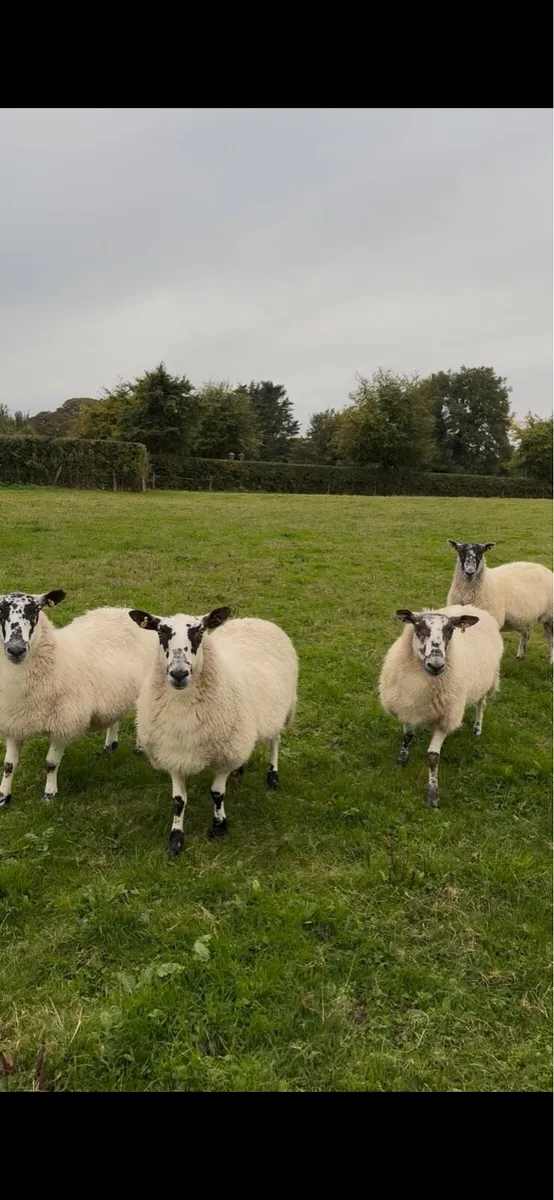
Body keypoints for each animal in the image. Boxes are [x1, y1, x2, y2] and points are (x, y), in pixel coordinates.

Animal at [0, 590, 158, 808]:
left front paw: (49, 796)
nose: (16, 650)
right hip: (116, 689)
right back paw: (110, 745)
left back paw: (139, 747)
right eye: (0, 611)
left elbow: (50, 764)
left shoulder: (64, 722)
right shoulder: (14, 721)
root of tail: (121, 609)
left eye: (36, 610)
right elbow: (9, 765)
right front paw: (3, 797)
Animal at [129, 604, 298, 856]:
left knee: (274, 742)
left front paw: (219, 827)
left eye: (200, 631)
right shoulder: (173, 754)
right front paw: (176, 839)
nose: (179, 674)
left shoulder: (224, 754)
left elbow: (217, 794)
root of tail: (256, 620)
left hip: (279, 710)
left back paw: (272, 777)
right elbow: (178, 800)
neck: (183, 707)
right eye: (160, 632)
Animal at [378, 603, 503, 808]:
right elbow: (407, 736)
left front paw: (433, 794)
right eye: (418, 627)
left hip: (487, 681)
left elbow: (433, 757)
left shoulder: (445, 719)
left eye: (450, 630)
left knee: (481, 704)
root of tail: (472, 607)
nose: (436, 665)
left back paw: (477, 728)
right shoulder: (406, 707)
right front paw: (401, 761)